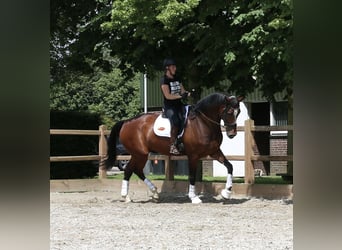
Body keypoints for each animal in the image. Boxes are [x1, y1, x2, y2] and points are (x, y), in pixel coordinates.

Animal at [105, 92, 242, 203]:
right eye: (230, 111)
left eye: (239, 112)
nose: (232, 134)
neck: (203, 123)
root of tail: (126, 122)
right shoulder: (193, 156)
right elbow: (192, 176)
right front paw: (194, 197)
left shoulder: (214, 152)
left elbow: (230, 166)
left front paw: (226, 193)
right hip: (139, 153)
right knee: (129, 170)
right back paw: (126, 196)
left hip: (141, 154)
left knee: (136, 170)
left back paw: (154, 193)